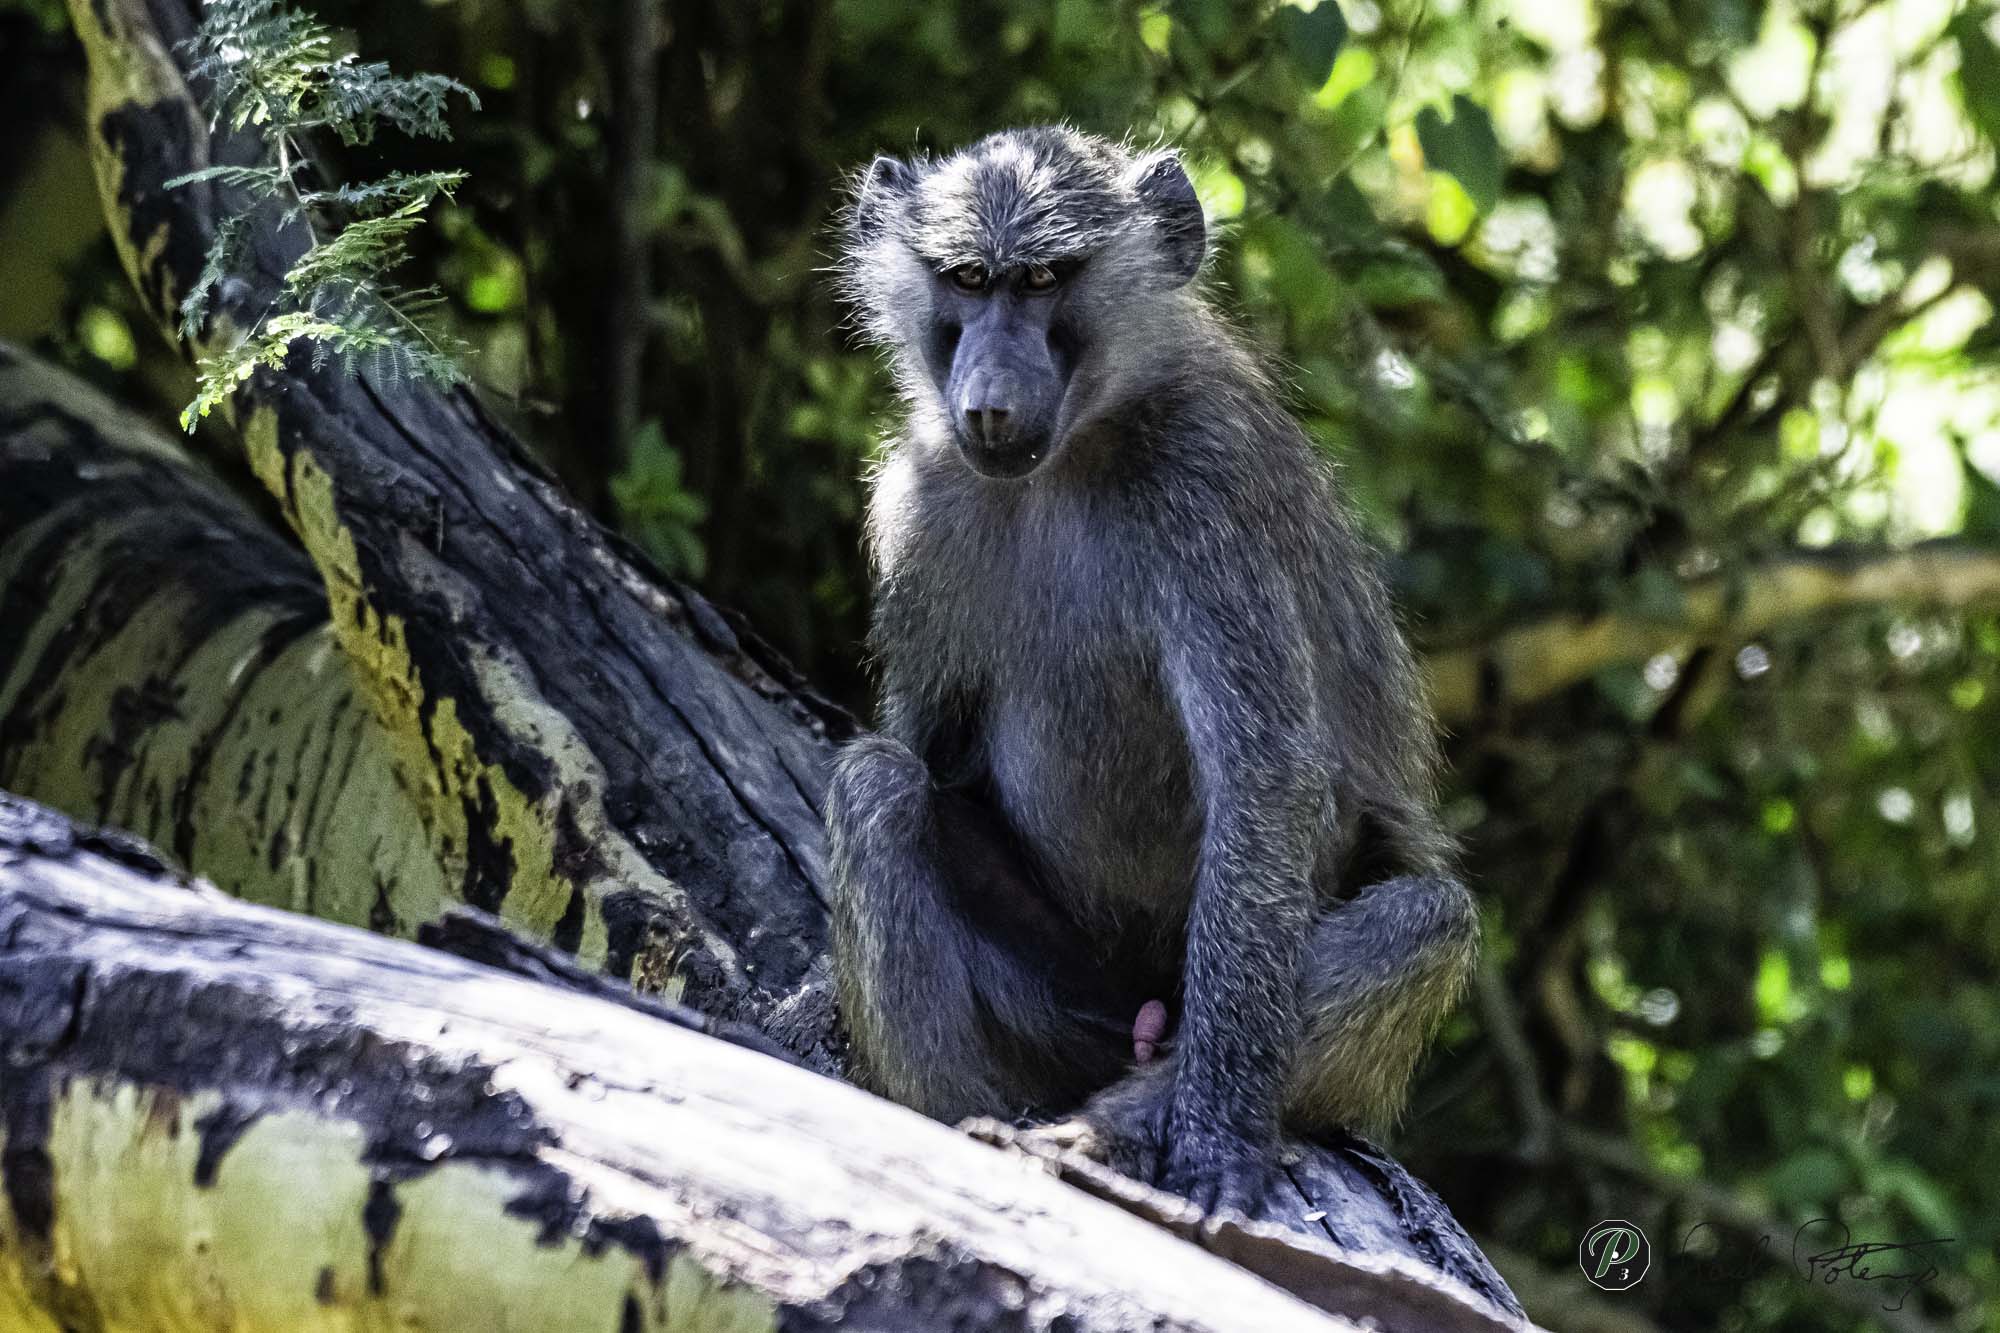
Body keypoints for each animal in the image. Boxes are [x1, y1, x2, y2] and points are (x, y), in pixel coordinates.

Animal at [827, 126, 1479, 1215]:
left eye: (1046, 280)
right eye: (967, 279)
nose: (990, 406)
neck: (1073, 455)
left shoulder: (1205, 490)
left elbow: (1265, 781)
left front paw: (1213, 1136)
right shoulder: (923, 501)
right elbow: (921, 744)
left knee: (1424, 918)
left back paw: (1112, 1129)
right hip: (1060, 1010)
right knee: (878, 785)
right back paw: (968, 1123)